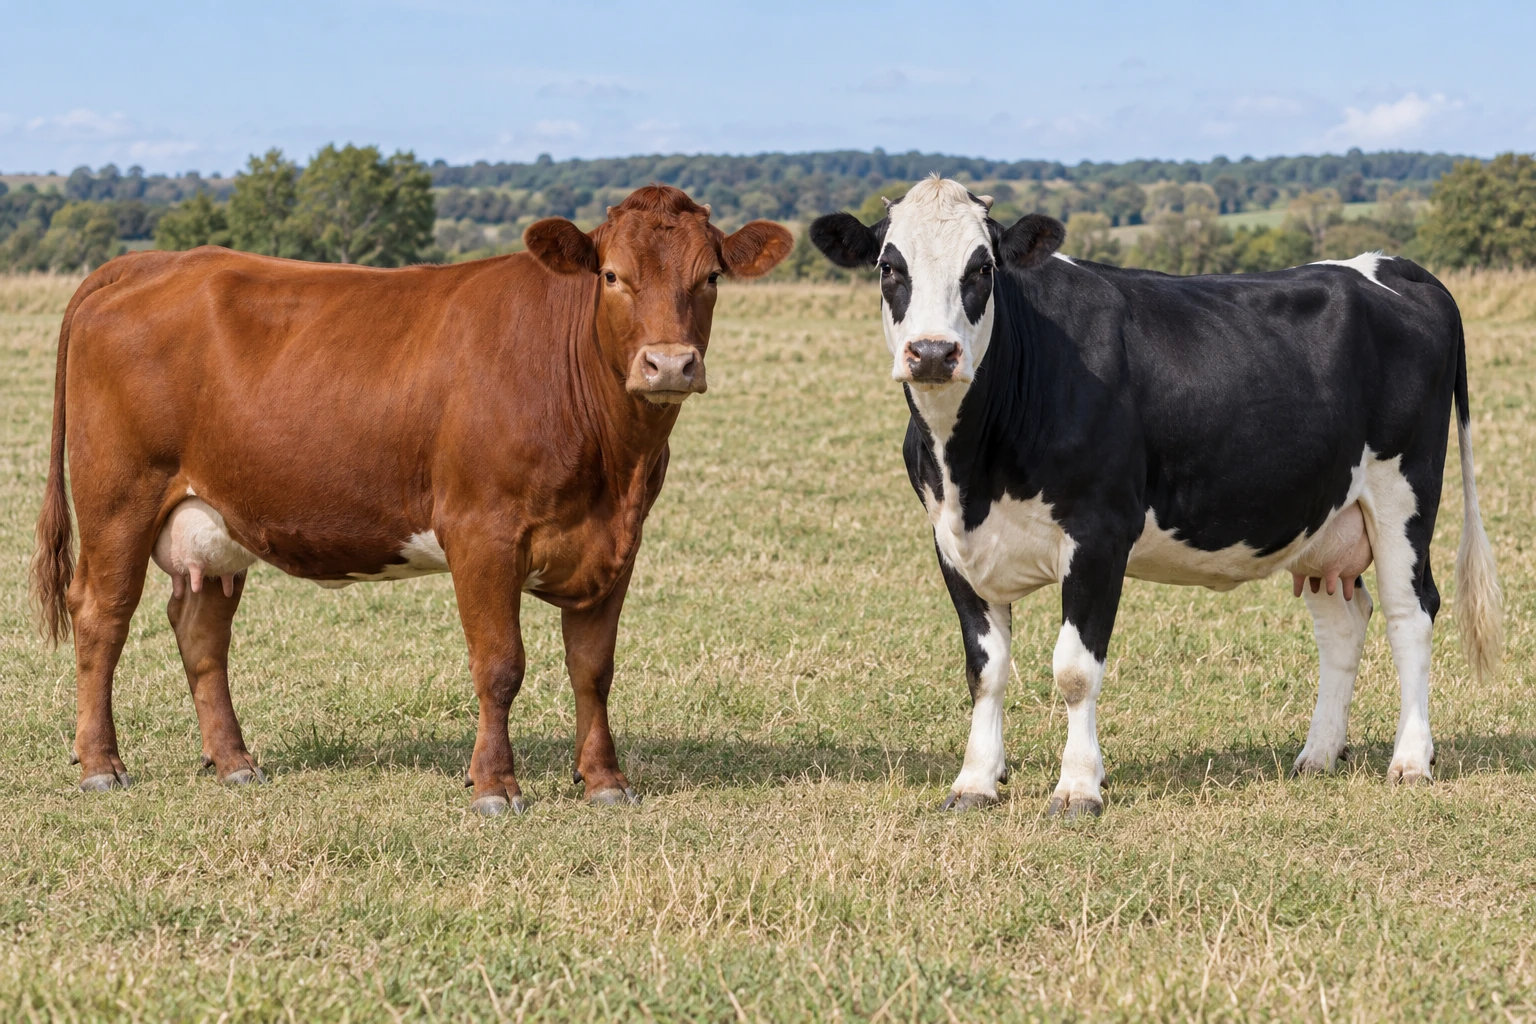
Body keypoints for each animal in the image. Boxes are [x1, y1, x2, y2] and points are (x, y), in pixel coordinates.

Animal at [30, 185, 792, 815]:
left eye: (711, 276)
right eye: (612, 276)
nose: (670, 364)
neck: (614, 466)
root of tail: (148, 263)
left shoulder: (616, 545)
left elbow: (593, 669)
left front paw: (605, 780)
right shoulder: (482, 533)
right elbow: (500, 665)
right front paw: (494, 786)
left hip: (216, 522)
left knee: (200, 630)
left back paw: (235, 762)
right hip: (118, 499)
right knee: (102, 616)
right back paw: (101, 766)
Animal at [810, 176, 1502, 817]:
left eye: (982, 267)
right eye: (889, 267)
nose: (932, 352)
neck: (974, 469)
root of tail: (1395, 265)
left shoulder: (1099, 533)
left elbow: (1074, 669)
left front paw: (1078, 787)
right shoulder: (953, 541)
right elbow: (985, 670)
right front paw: (976, 781)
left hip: (1403, 493)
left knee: (1410, 613)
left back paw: (1410, 759)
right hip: (1324, 519)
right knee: (1343, 623)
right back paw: (1318, 753)